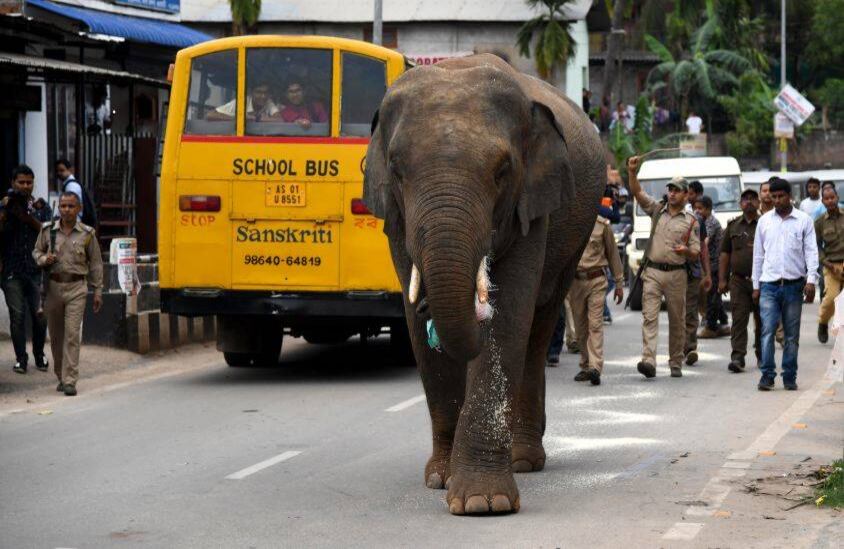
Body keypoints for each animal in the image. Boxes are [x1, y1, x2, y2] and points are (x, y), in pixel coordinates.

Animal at [363, 54, 605, 515]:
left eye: (502, 171)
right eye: (398, 171)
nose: (431, 311)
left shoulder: (532, 205)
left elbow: (507, 315)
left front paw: (483, 502)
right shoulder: (395, 222)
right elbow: (414, 321)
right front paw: (440, 479)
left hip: (576, 234)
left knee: (538, 325)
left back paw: (524, 459)